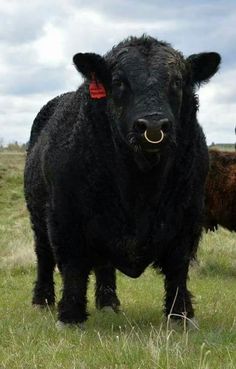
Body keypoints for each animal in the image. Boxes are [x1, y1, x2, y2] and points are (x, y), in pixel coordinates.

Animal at [24, 35, 219, 324]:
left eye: (176, 81)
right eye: (118, 81)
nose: (153, 127)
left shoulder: (188, 216)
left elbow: (178, 268)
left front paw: (180, 315)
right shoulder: (65, 215)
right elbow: (72, 267)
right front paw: (70, 315)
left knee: (105, 265)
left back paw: (109, 303)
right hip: (39, 219)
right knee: (44, 257)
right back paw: (42, 300)